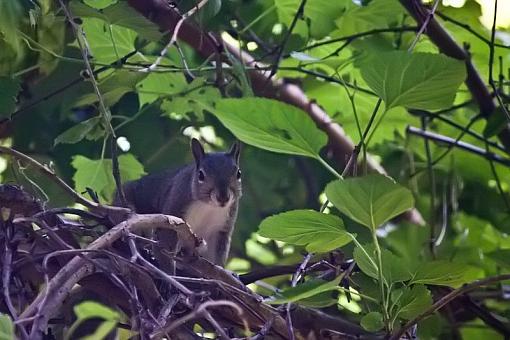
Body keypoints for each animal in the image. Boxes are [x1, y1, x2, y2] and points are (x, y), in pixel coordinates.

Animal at [114, 138, 242, 266]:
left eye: (239, 173)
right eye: (200, 175)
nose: (223, 198)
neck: (208, 206)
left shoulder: (220, 229)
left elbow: (216, 258)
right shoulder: (174, 208)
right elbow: (164, 247)